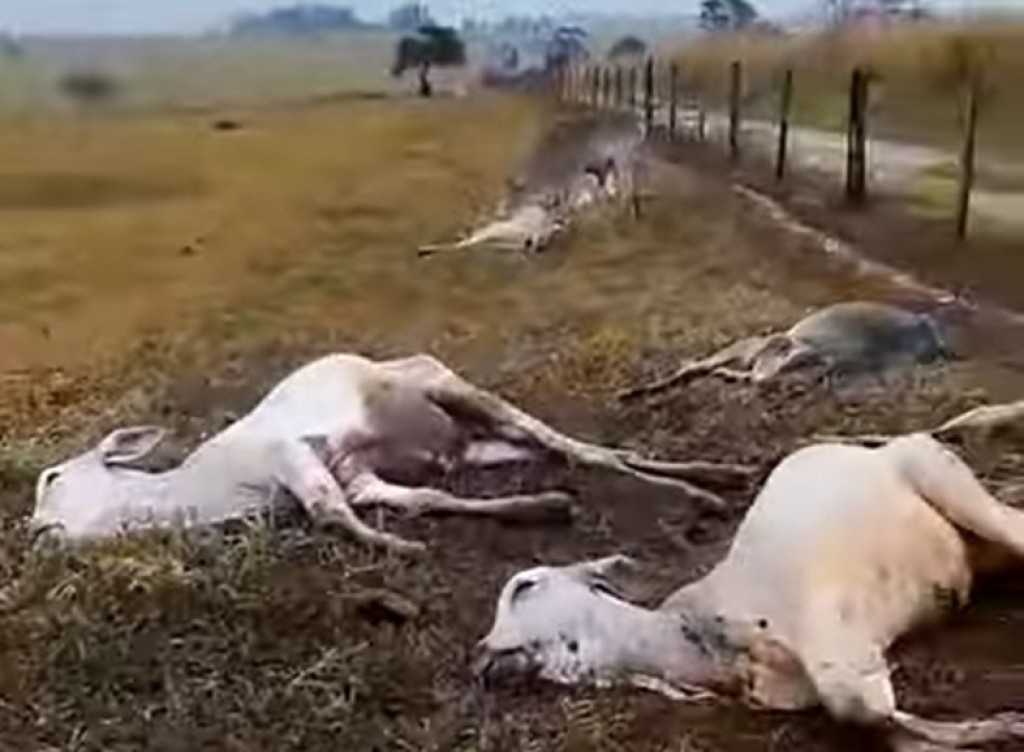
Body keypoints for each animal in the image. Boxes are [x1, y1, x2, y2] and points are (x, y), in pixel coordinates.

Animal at [29, 352, 745, 553]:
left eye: (51, 477)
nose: (34, 530)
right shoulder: (356, 474)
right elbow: (418, 498)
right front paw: (542, 509)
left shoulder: (296, 456)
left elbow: (331, 515)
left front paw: (400, 549)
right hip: (483, 446)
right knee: (576, 454)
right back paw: (717, 479)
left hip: (455, 388)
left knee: (579, 448)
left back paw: (707, 489)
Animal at [475, 411, 1024, 752]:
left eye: (525, 586)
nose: (481, 659)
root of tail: (875, 449)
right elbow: (888, 727)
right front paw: (997, 727)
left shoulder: (834, 635)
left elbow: (859, 707)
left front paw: (1006, 725)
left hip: (941, 474)